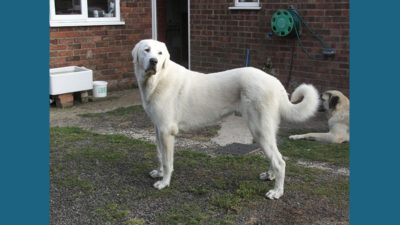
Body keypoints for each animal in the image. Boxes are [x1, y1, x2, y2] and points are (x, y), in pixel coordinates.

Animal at [131, 39, 318, 200]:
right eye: (146, 50)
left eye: (160, 53)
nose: (154, 61)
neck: (158, 79)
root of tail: (275, 81)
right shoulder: (158, 129)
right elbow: (159, 155)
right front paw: (159, 173)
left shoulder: (166, 131)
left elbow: (168, 161)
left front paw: (164, 182)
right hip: (266, 131)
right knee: (275, 157)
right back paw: (270, 176)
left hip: (259, 130)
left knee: (280, 162)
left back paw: (277, 192)